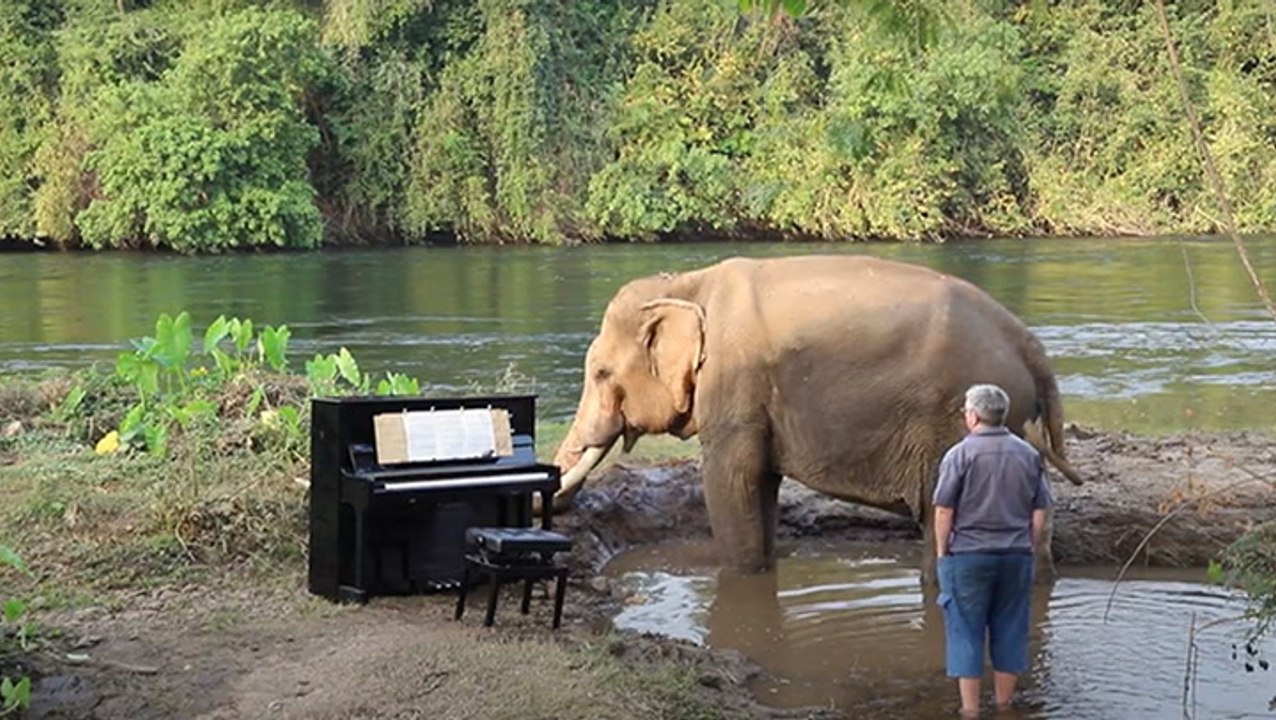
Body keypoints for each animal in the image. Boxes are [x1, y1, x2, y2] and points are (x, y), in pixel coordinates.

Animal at [551, 254, 1083, 583]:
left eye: (600, 373)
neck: (687, 282)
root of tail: (1028, 344)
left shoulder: (734, 383)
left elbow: (732, 481)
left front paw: (742, 578)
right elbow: (760, 485)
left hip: (953, 423)